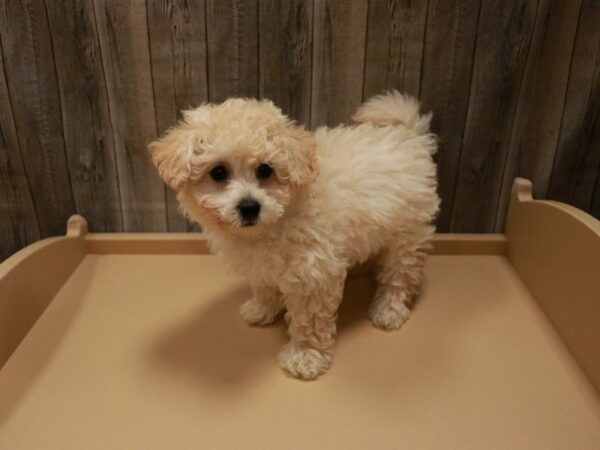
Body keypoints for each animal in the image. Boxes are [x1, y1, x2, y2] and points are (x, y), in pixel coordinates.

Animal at [148, 90, 438, 380]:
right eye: (218, 172)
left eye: (265, 170)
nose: (249, 206)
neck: (275, 222)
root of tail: (409, 136)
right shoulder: (260, 264)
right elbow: (264, 286)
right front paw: (262, 309)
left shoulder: (314, 275)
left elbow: (310, 321)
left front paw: (306, 356)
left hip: (408, 232)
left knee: (401, 274)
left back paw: (389, 309)